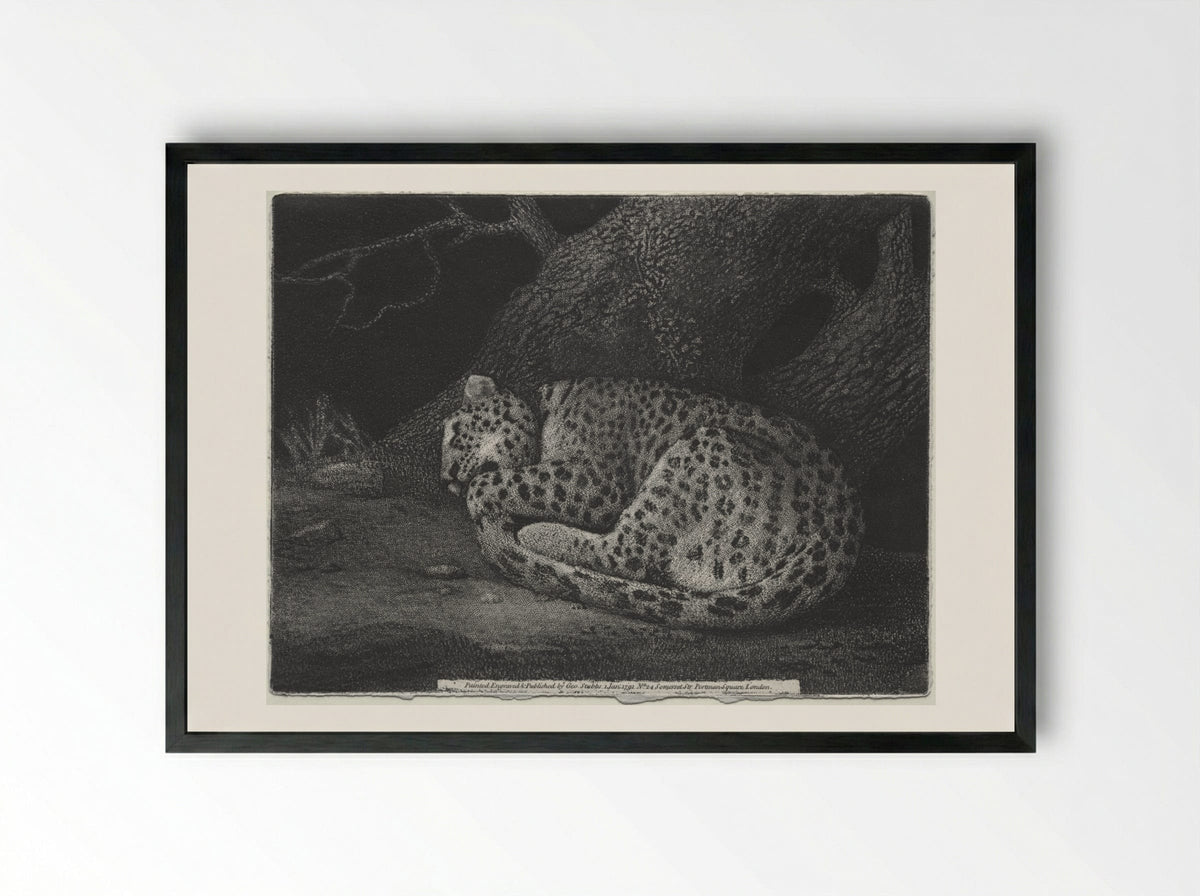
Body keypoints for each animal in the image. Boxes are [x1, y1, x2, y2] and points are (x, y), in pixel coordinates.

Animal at [441, 374, 863, 630]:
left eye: (456, 433)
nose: (446, 480)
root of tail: (840, 533)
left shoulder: (596, 481)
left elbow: (502, 479)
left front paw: (481, 498)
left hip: (698, 452)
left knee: (627, 554)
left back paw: (535, 533)